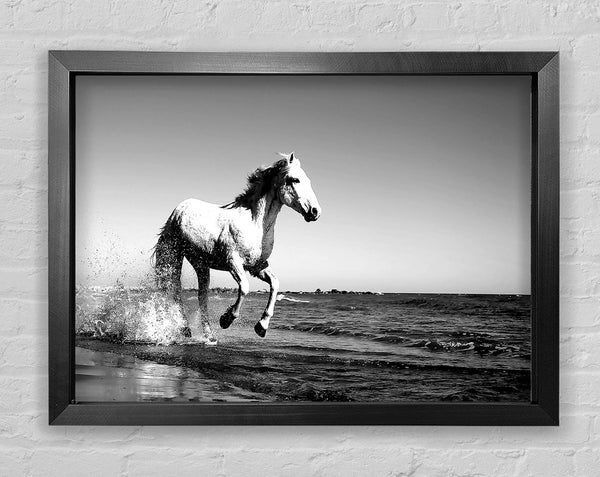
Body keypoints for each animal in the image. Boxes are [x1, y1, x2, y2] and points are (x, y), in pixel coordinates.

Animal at [156, 152, 324, 342]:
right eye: (295, 179)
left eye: (308, 180)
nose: (315, 212)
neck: (254, 223)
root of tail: (179, 210)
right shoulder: (233, 262)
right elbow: (244, 287)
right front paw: (226, 319)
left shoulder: (257, 266)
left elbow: (275, 284)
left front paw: (262, 326)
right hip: (174, 256)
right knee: (175, 290)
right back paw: (185, 329)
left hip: (201, 264)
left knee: (201, 296)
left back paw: (209, 336)